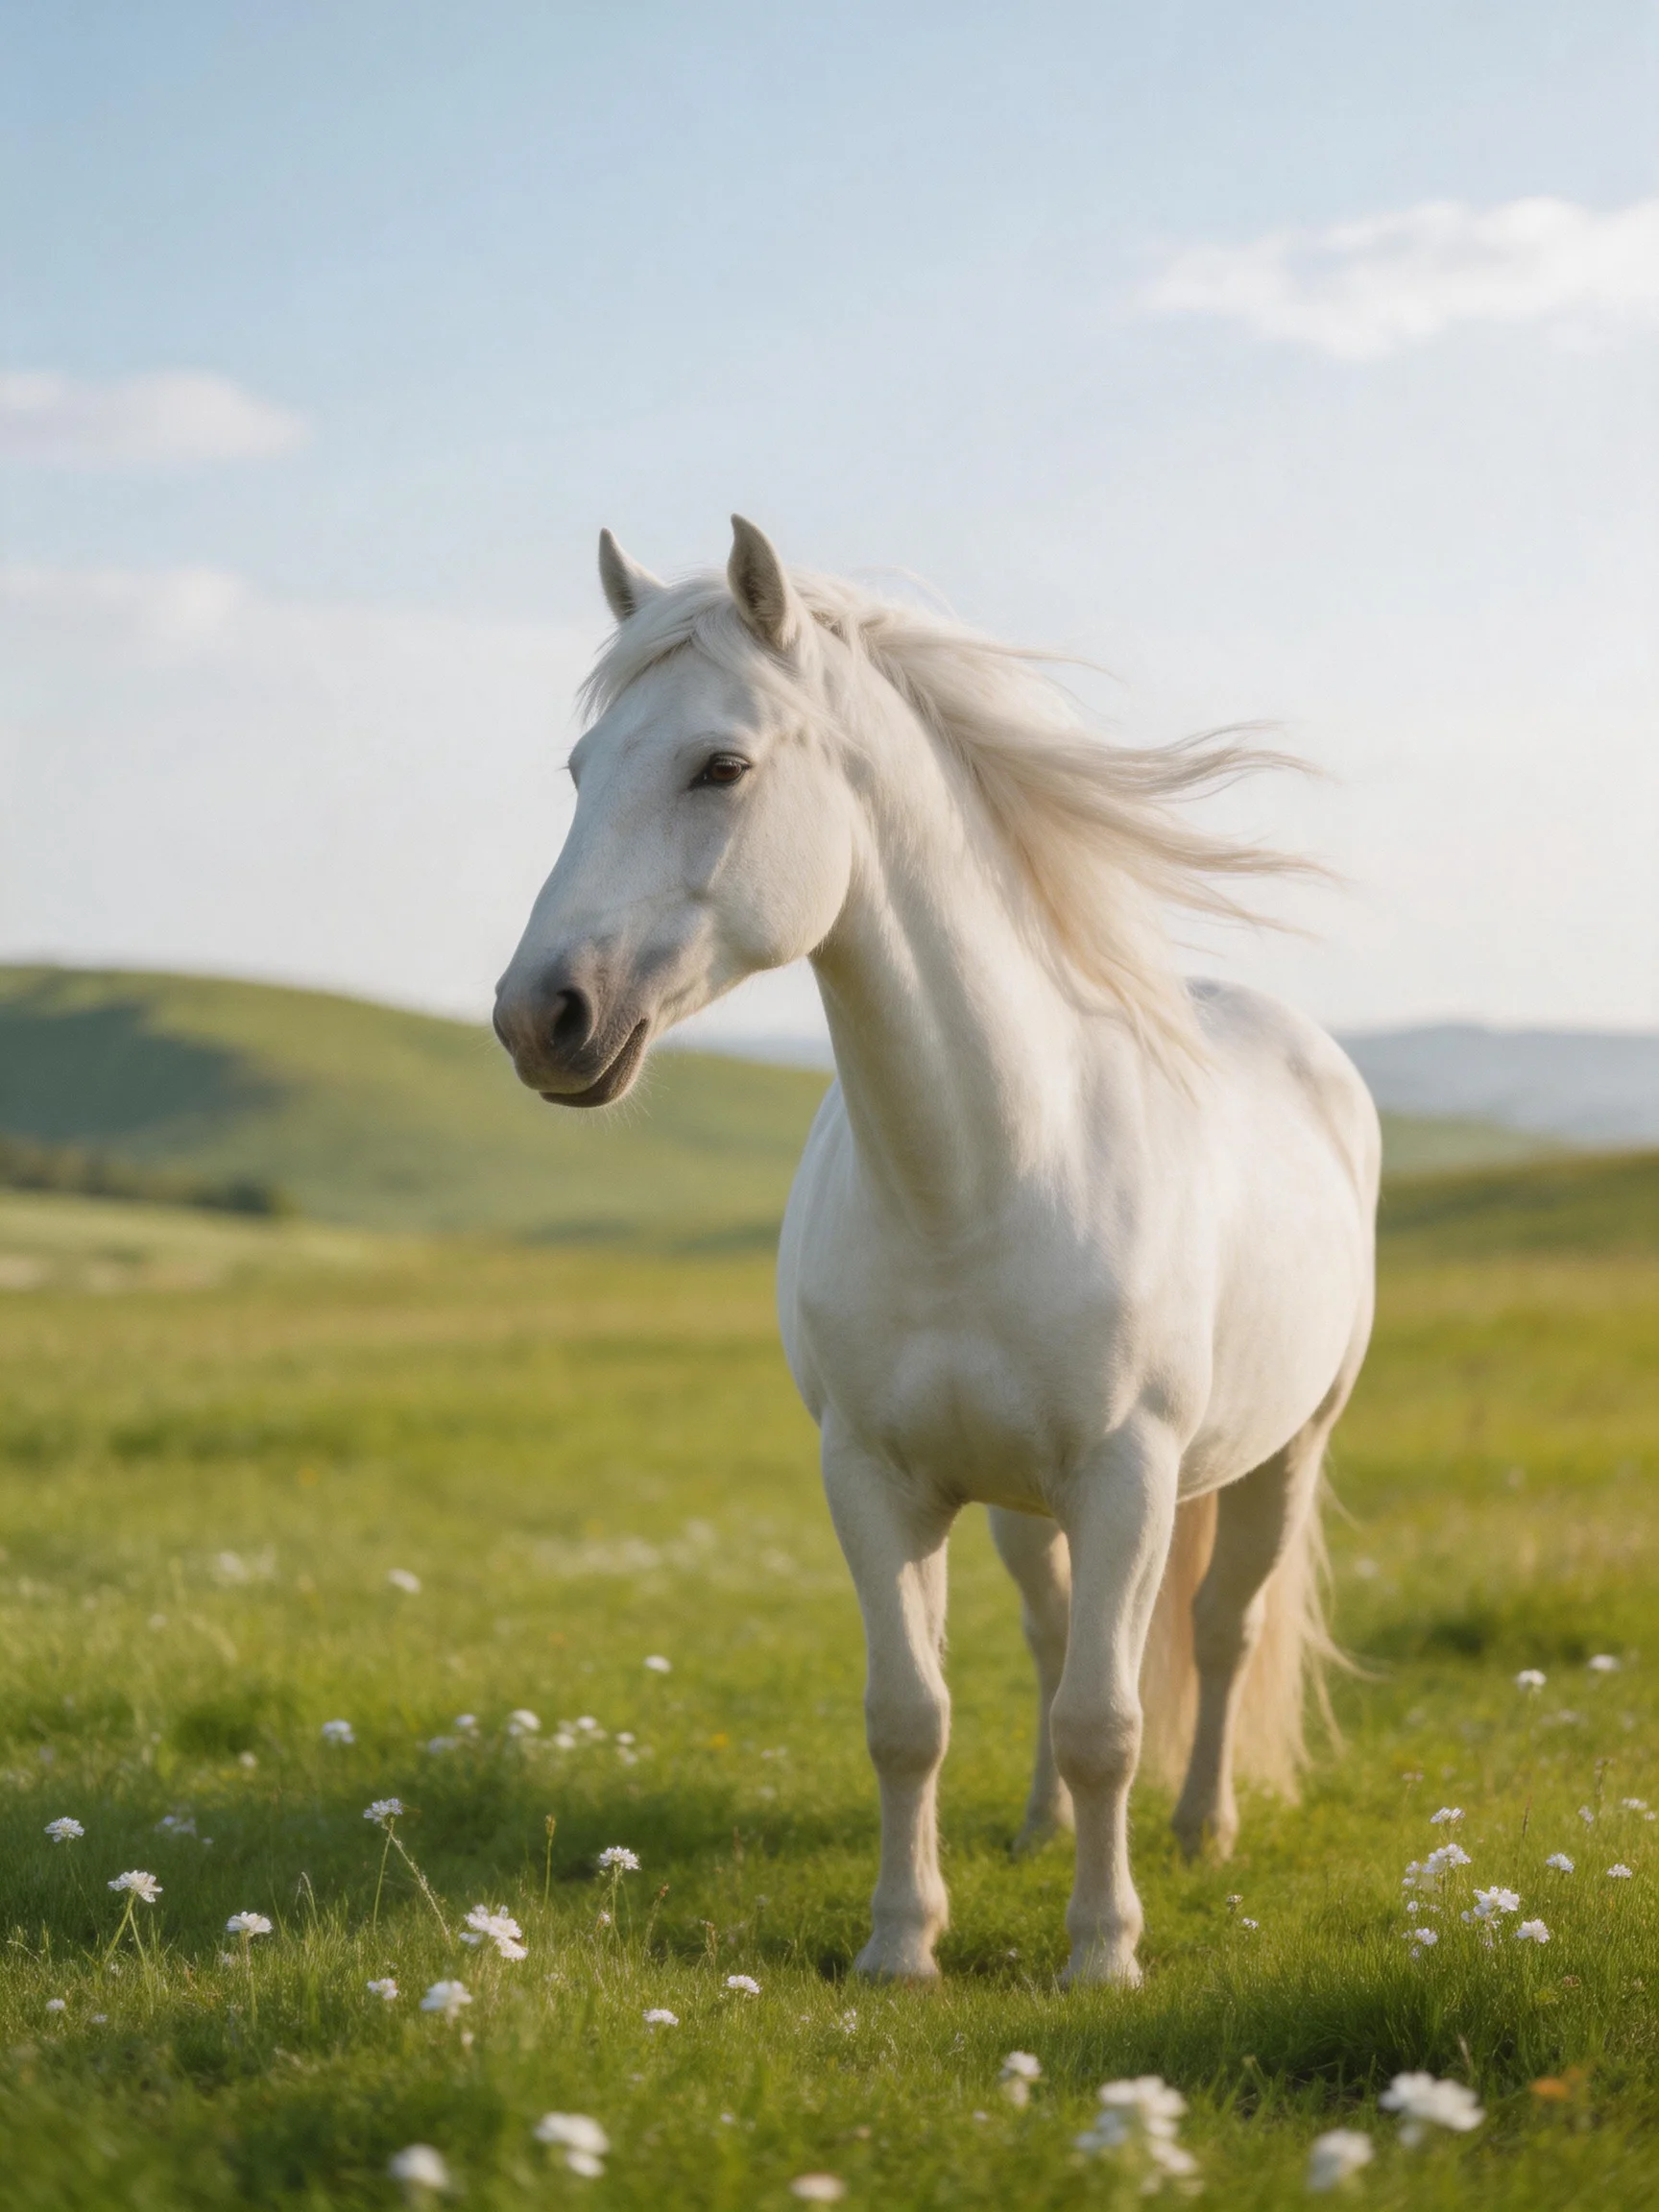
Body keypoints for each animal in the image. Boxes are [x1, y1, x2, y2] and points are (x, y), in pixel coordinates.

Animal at [494, 516, 1379, 1986]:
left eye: (721, 764)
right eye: (577, 769)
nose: (540, 1017)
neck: (979, 1177)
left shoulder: (1130, 1478)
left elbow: (1108, 1720)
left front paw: (1102, 1953)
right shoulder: (874, 1478)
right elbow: (911, 1712)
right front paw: (902, 1943)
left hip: (1285, 1450)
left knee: (1221, 1629)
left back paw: (1204, 1830)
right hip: (1026, 1503)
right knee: (1051, 1635)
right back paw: (1035, 1831)